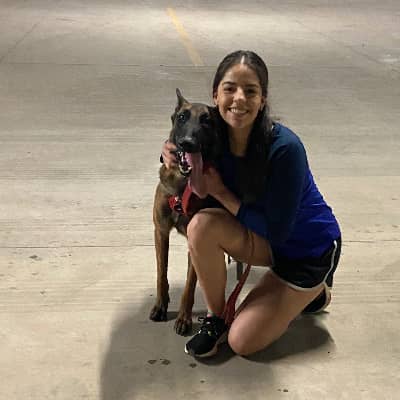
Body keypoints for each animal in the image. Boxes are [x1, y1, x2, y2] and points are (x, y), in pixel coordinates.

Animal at [150, 89, 222, 335]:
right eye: (182, 117)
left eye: (206, 120)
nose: (188, 143)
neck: (182, 186)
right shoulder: (160, 232)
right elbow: (161, 272)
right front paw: (160, 305)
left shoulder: (195, 240)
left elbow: (190, 285)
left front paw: (184, 318)